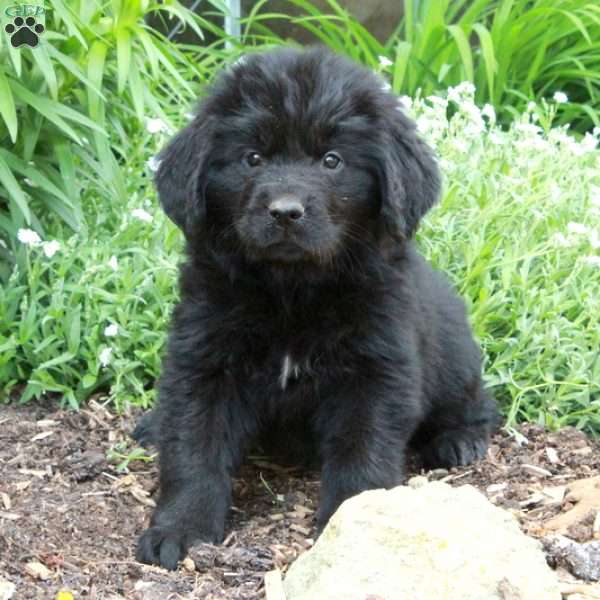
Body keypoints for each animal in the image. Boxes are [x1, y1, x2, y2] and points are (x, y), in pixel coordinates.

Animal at [135, 48, 496, 572]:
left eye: (332, 160)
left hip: (455, 356)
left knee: (478, 401)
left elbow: (362, 450)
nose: (286, 211)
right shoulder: (203, 359)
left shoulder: (377, 369)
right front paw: (179, 529)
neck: (293, 294)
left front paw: (355, 524)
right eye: (253, 158)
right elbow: (192, 446)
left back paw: (459, 439)